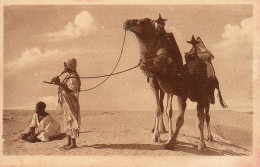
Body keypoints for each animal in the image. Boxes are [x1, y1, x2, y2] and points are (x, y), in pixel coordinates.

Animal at [123, 15, 226, 150]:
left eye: (143, 21)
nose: (142, 62)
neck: (189, 77)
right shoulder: (174, 92)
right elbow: (174, 117)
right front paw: (167, 140)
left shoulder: (198, 97)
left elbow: (196, 120)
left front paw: (200, 144)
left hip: (208, 98)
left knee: (206, 116)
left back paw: (209, 137)